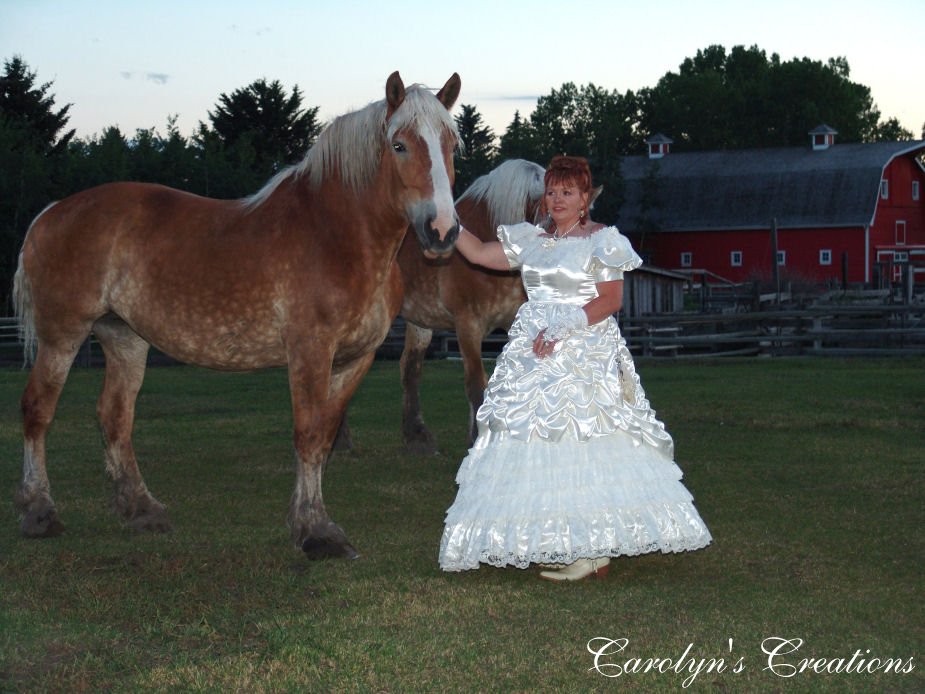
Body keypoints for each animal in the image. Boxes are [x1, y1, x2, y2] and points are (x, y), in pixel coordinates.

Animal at [14, 72, 462, 560]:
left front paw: (307, 521)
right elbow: (307, 434)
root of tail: (50, 213)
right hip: (62, 335)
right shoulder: (310, 350)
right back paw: (39, 512)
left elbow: (324, 435)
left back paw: (142, 510)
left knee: (114, 416)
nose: (442, 230)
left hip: (124, 337)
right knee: (37, 410)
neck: (337, 235)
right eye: (399, 145)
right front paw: (315, 531)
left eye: (451, 145)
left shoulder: (356, 358)